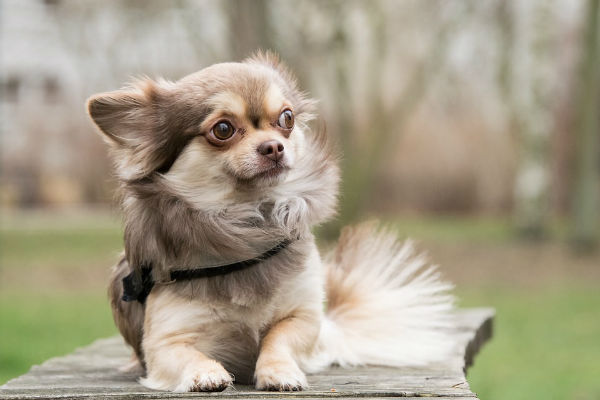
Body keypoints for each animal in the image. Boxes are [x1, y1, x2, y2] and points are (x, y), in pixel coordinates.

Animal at [86, 51, 454, 392]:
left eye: (286, 118)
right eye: (223, 129)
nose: (274, 146)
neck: (248, 219)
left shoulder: (303, 316)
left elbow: (279, 338)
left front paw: (279, 371)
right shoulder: (164, 341)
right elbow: (188, 354)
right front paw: (205, 373)